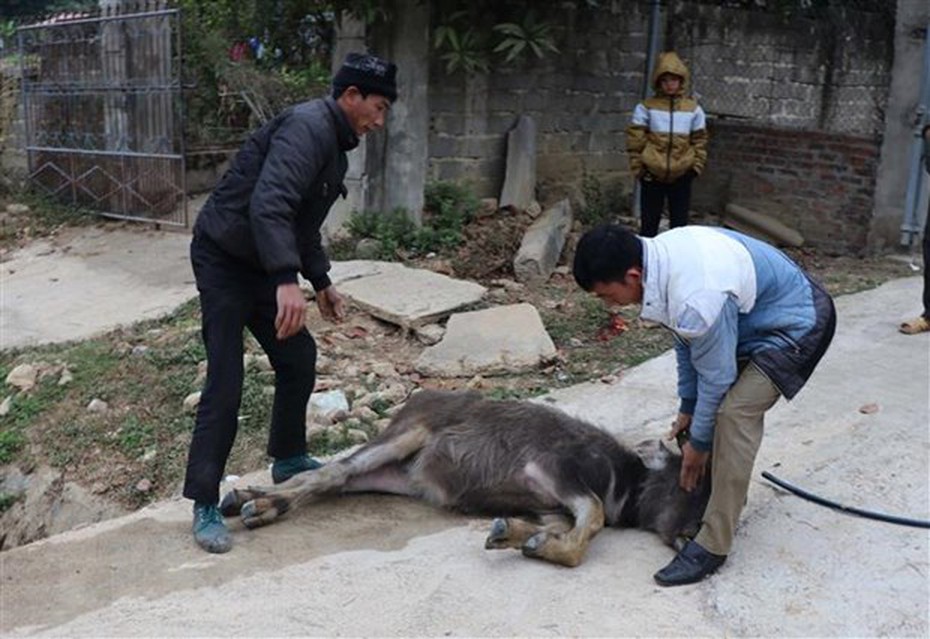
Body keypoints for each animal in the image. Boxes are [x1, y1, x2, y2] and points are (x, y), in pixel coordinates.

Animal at [221, 388, 708, 568]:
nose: (692, 536)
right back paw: (250, 504)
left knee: (330, 478)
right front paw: (543, 545)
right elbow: (594, 518)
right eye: (692, 480)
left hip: (393, 476)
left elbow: (564, 526)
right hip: (403, 437)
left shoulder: (550, 505)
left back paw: (251, 499)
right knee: (335, 470)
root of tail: (417, 398)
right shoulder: (557, 472)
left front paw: (518, 535)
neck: (624, 480)